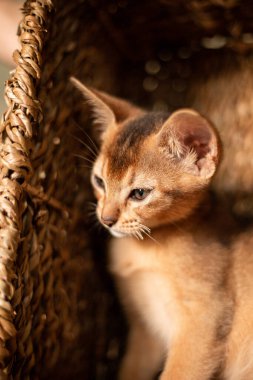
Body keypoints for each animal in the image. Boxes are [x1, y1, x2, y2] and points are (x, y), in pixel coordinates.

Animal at [71, 78, 253, 380]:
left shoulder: (204, 320)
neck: (146, 250)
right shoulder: (144, 331)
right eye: (99, 181)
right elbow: (130, 371)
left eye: (139, 193)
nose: (106, 219)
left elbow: (177, 373)